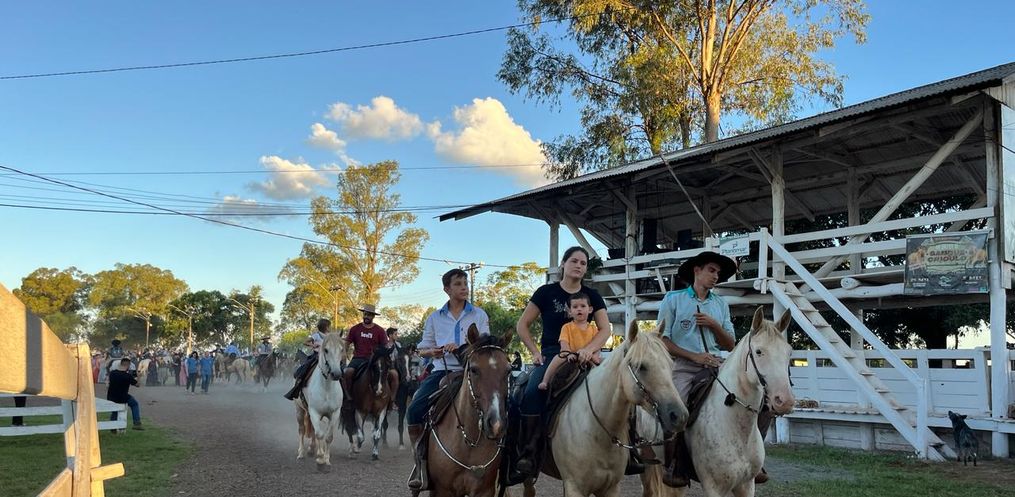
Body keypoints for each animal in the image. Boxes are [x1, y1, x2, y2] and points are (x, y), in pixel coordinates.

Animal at [294, 332, 347, 471]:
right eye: (326, 350)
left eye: (342, 349)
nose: (336, 374)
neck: (326, 387)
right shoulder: (314, 412)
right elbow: (319, 434)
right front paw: (320, 461)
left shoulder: (334, 413)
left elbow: (328, 437)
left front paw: (326, 460)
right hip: (299, 410)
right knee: (302, 430)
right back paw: (301, 453)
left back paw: (313, 450)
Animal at [424, 326, 513, 497]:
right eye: (474, 369)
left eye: (508, 370)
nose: (496, 424)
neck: (468, 442)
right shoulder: (443, 490)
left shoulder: (484, 490)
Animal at [517, 321, 687, 497]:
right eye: (641, 367)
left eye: (670, 365)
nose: (679, 416)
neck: (598, 429)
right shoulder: (574, 487)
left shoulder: (610, 487)